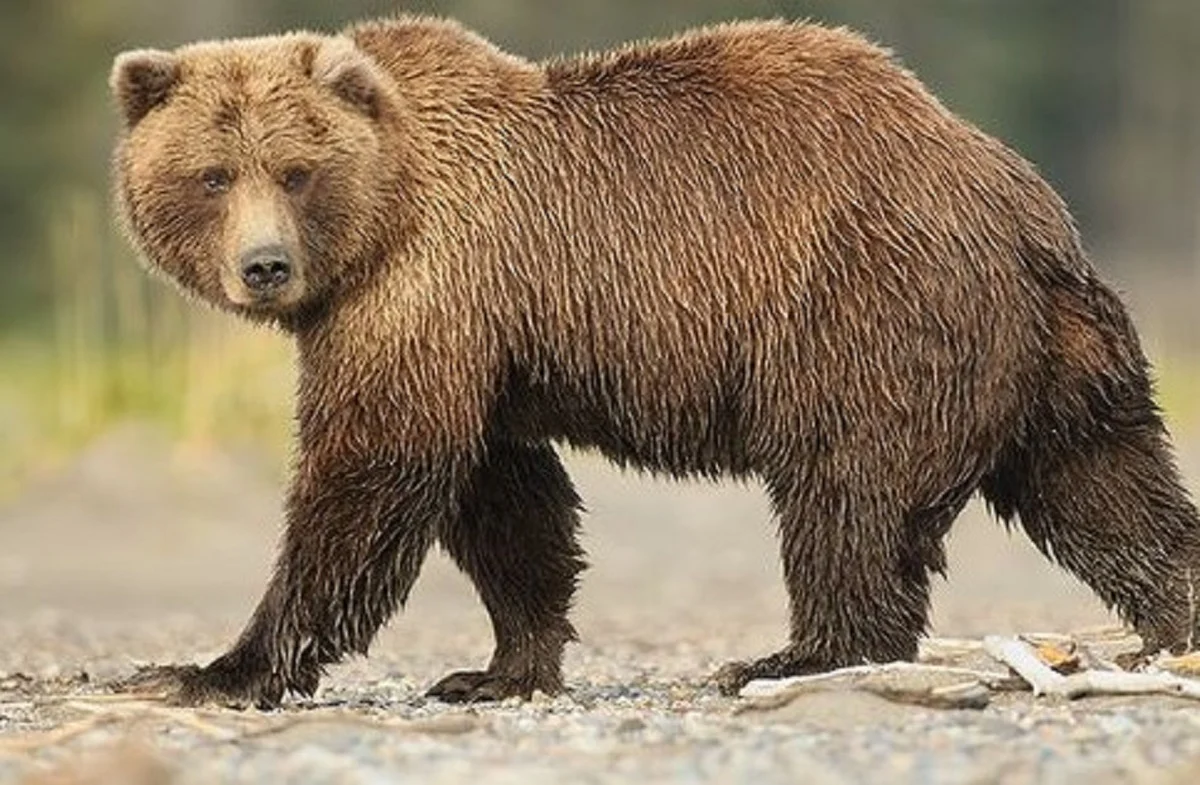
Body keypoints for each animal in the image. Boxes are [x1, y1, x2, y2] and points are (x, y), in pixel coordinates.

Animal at [109, 15, 1200, 708]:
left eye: (296, 169)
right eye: (213, 173)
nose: (264, 266)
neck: (386, 213)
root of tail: (1023, 203)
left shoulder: (433, 284)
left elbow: (375, 467)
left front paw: (210, 668)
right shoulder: (487, 342)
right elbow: (505, 498)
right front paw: (499, 666)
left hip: (867, 308)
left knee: (846, 491)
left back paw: (794, 655)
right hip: (1056, 352)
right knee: (1107, 485)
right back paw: (1173, 621)